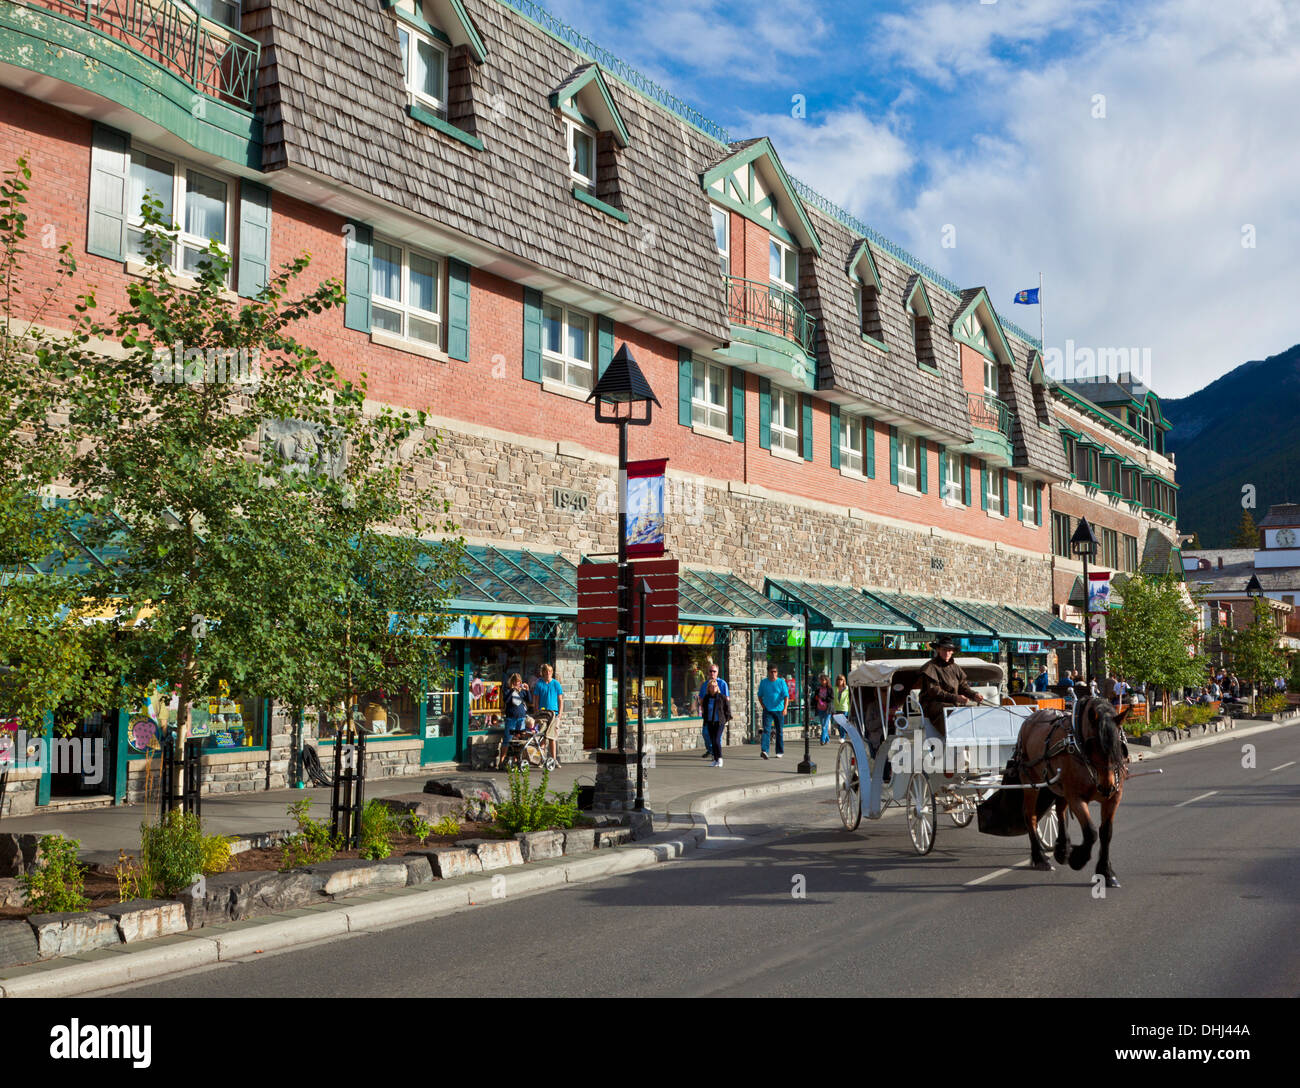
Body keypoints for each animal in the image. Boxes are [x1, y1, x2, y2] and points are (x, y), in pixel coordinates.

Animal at [1013, 696, 1128, 883]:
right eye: (1092, 745)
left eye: (1119, 744)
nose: (1106, 786)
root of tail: (1030, 719)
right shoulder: (1076, 797)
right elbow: (1091, 832)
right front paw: (1078, 859)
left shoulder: (1114, 797)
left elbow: (1106, 832)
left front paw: (1106, 872)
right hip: (1030, 781)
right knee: (1030, 816)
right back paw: (1040, 858)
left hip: (1059, 785)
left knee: (1060, 811)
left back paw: (1062, 849)